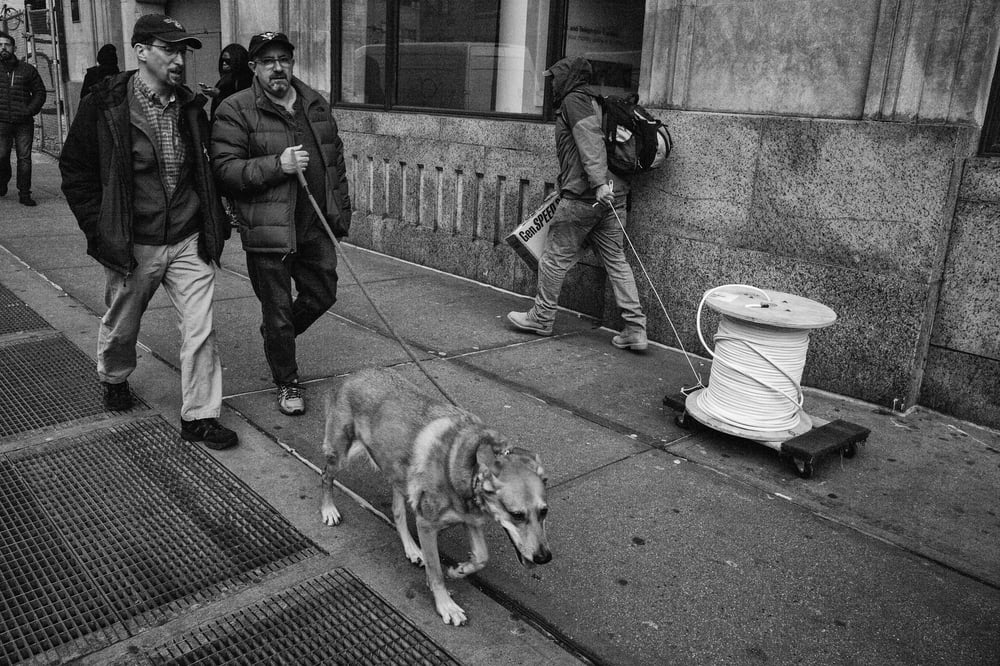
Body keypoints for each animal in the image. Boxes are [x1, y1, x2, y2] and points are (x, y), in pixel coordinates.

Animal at [324, 368, 552, 624]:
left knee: (397, 512)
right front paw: (446, 605)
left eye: (544, 511)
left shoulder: (470, 520)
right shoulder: (427, 525)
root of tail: (356, 373)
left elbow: (482, 557)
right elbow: (436, 572)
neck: (466, 464)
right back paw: (328, 510)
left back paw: (412, 549)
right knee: (326, 477)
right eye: (517, 515)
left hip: (397, 472)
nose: (544, 558)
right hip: (340, 456)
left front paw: (460, 570)